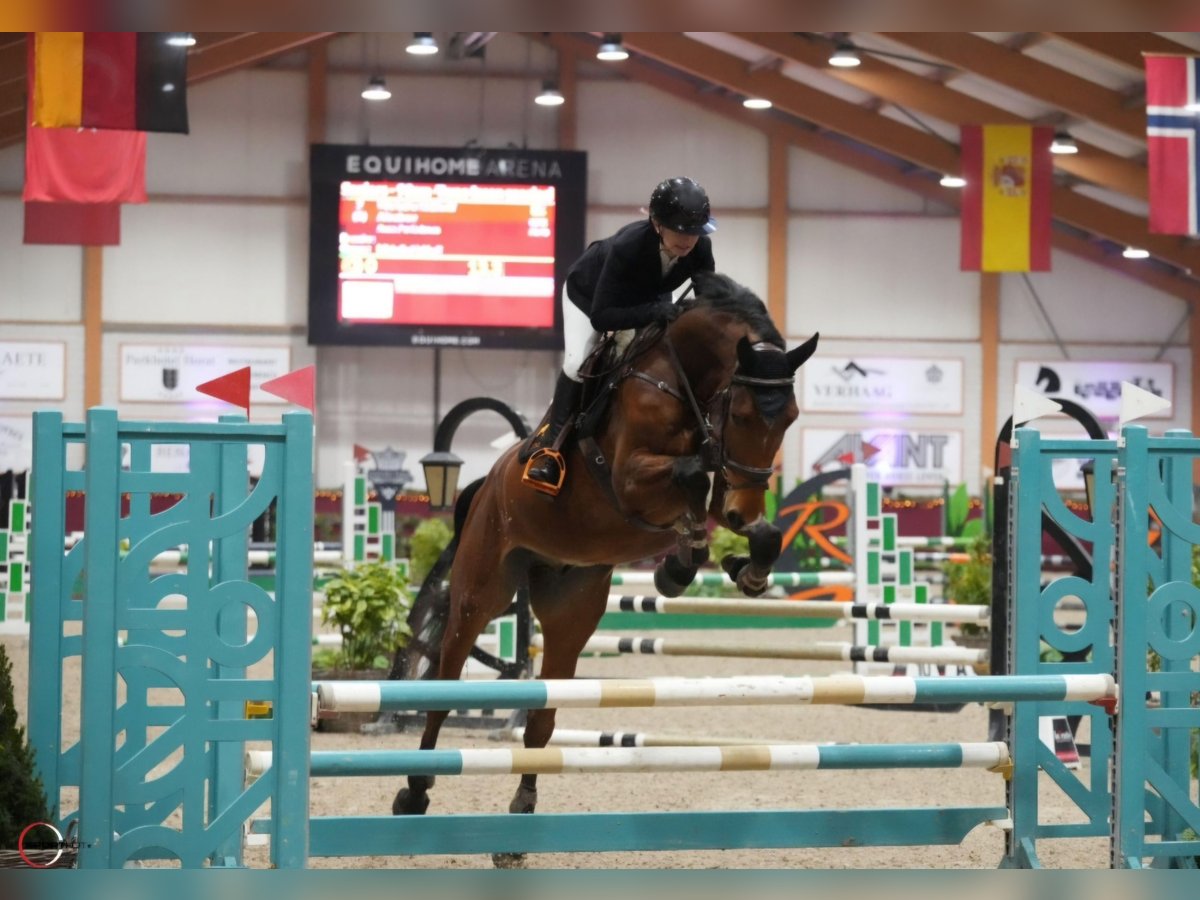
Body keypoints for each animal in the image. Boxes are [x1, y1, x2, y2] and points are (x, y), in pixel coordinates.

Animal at [391, 271, 816, 864]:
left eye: (791, 419)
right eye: (745, 414)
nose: (742, 511)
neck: (682, 382)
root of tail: (486, 483)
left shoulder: (717, 488)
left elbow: (752, 525)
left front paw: (729, 567)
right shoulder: (631, 480)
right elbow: (691, 474)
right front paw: (690, 560)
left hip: (572, 608)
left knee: (542, 718)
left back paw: (519, 820)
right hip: (482, 591)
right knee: (445, 688)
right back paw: (414, 791)